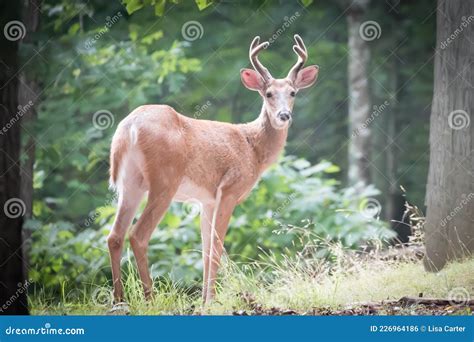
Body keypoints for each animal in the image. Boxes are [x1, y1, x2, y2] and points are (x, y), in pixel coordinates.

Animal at [107, 34, 318, 310]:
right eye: (269, 93)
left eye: (293, 92)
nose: (284, 115)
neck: (252, 147)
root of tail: (128, 127)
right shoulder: (229, 190)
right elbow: (217, 246)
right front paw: (211, 300)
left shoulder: (205, 200)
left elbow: (206, 248)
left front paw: (204, 299)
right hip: (164, 181)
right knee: (138, 235)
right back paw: (149, 299)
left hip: (130, 183)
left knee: (115, 236)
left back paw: (119, 300)